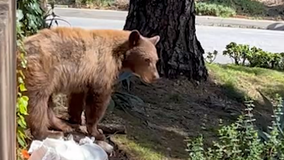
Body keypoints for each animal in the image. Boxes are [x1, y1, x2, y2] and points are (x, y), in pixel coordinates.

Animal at [19, 26, 161, 141]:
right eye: (147, 59)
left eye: (156, 60)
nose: (155, 77)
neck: (119, 54)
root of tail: (21, 48)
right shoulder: (102, 68)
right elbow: (98, 99)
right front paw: (97, 132)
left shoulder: (83, 76)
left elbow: (77, 98)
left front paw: (76, 119)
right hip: (42, 71)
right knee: (37, 101)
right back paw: (45, 133)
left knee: (47, 103)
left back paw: (61, 125)